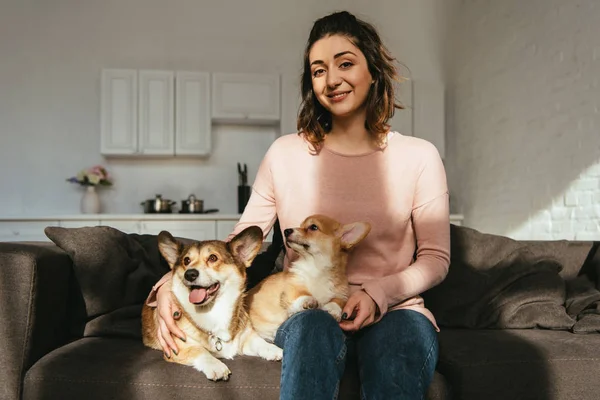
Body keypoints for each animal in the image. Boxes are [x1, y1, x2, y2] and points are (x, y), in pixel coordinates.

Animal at [142, 225, 282, 382]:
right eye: (186, 260)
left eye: (213, 258)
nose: (189, 274)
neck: (213, 311)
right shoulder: (178, 347)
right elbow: (200, 350)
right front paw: (217, 366)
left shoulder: (246, 338)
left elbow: (259, 342)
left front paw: (273, 349)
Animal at [245, 214, 370, 342]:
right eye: (300, 226)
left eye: (313, 227)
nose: (286, 231)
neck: (316, 266)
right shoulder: (294, 284)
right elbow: (301, 293)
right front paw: (309, 301)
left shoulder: (341, 293)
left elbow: (338, 301)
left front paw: (333, 310)